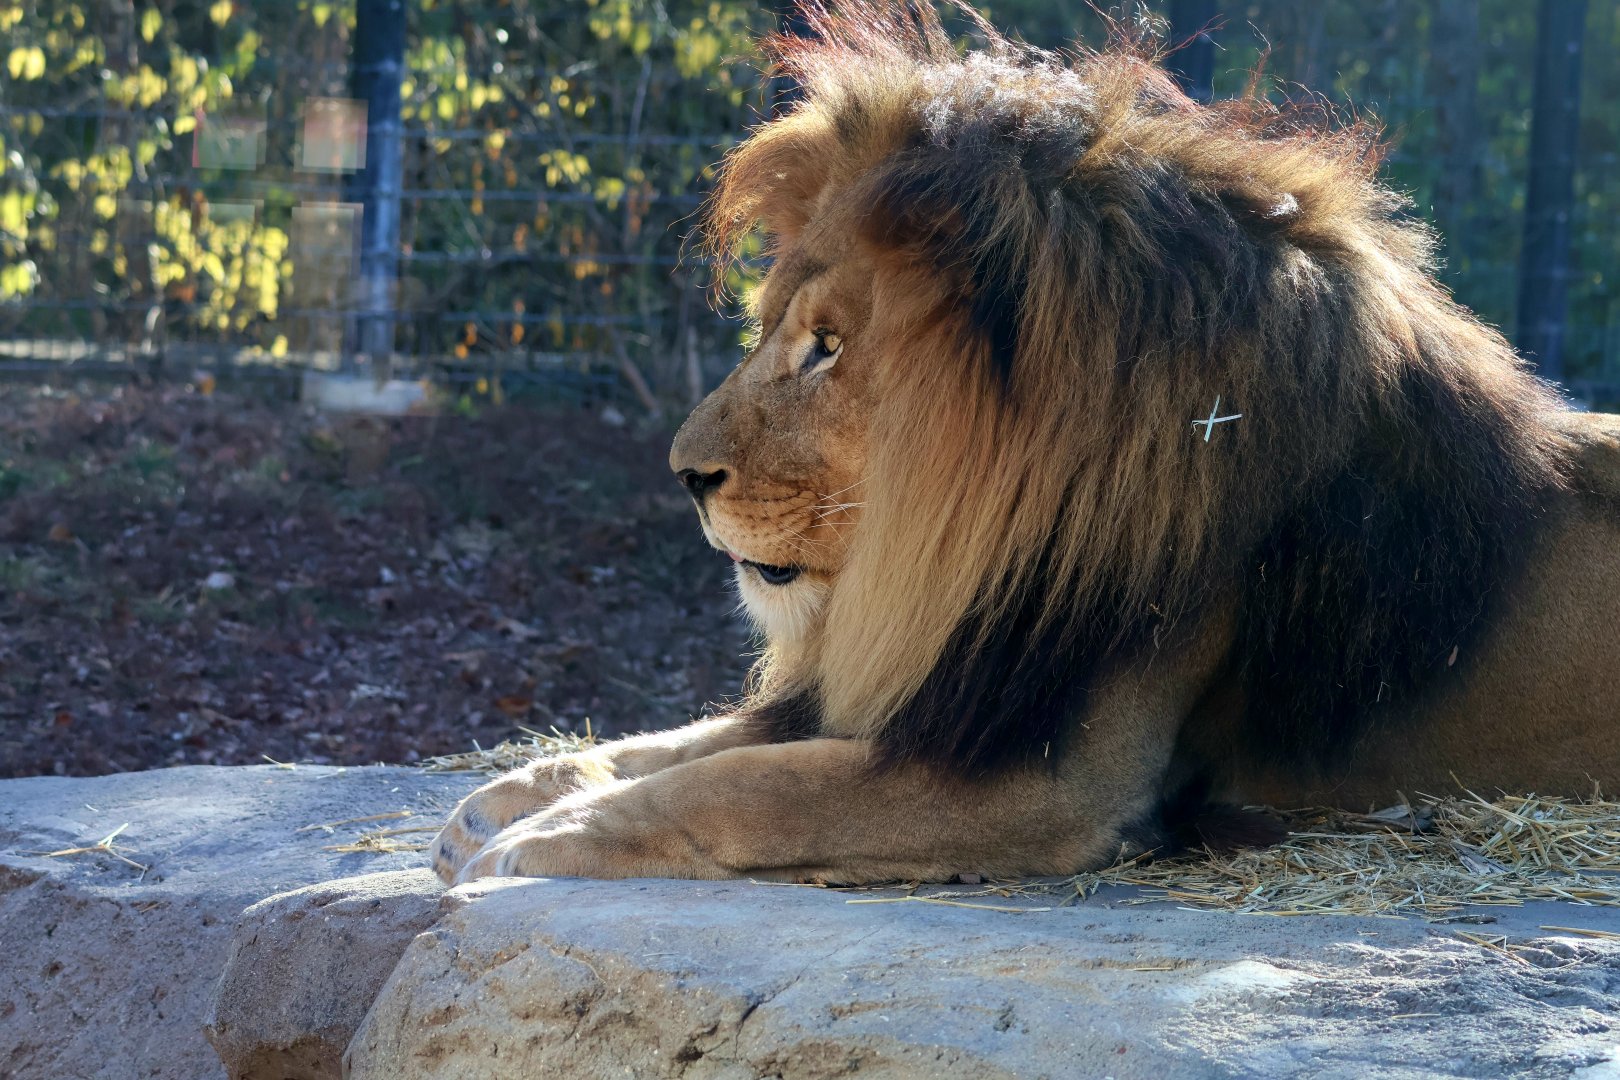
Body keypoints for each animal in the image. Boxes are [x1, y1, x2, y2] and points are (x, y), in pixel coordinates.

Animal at [433, 1, 1620, 885]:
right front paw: (511, 797)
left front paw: (542, 839)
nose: (685, 476)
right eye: (772, 330)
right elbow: (687, 742)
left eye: (827, 346)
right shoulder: (949, 681)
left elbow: (747, 782)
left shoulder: (1046, 778)